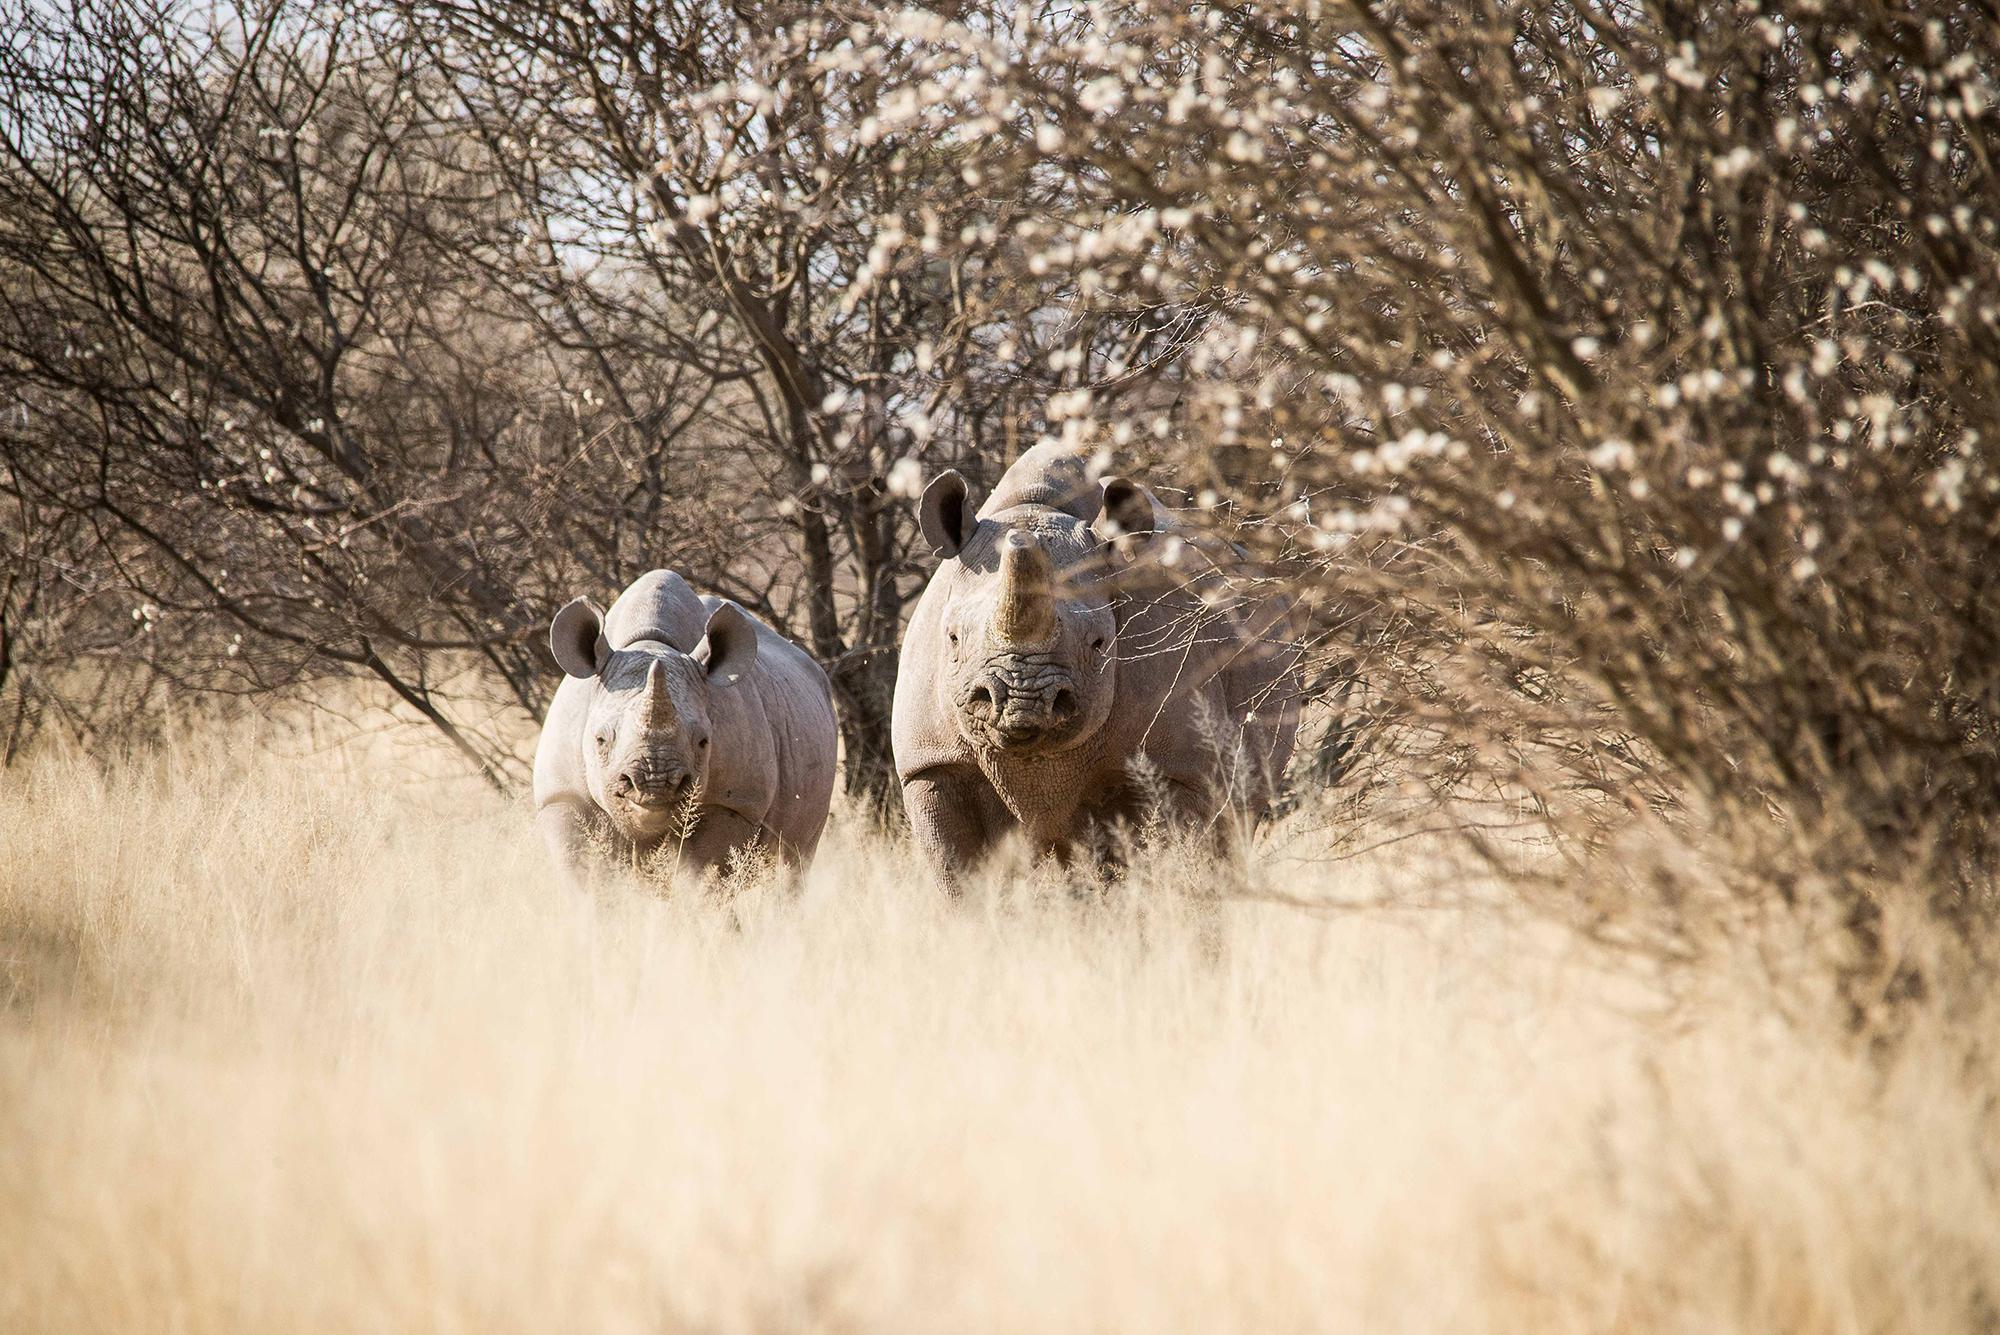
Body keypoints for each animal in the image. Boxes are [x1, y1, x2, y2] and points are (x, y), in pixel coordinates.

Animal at [532, 567, 836, 879]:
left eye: (704, 742)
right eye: (600, 740)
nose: (654, 783)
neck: (651, 643)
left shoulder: (734, 803)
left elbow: (703, 874)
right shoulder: (562, 796)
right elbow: (589, 872)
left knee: (794, 861)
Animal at [896, 443, 1304, 891]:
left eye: (1099, 644)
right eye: (952, 638)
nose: (1021, 702)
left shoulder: (1179, 766)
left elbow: (1171, 861)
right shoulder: (932, 764)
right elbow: (957, 875)